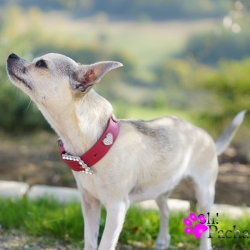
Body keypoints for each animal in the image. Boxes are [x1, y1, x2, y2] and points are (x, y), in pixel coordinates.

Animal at [6, 51, 245, 249]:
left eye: (41, 64)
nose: (11, 55)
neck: (96, 144)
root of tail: (207, 137)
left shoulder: (116, 210)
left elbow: (104, 245)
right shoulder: (90, 205)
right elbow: (90, 241)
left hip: (204, 193)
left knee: (204, 228)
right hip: (161, 188)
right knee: (166, 210)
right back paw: (162, 240)